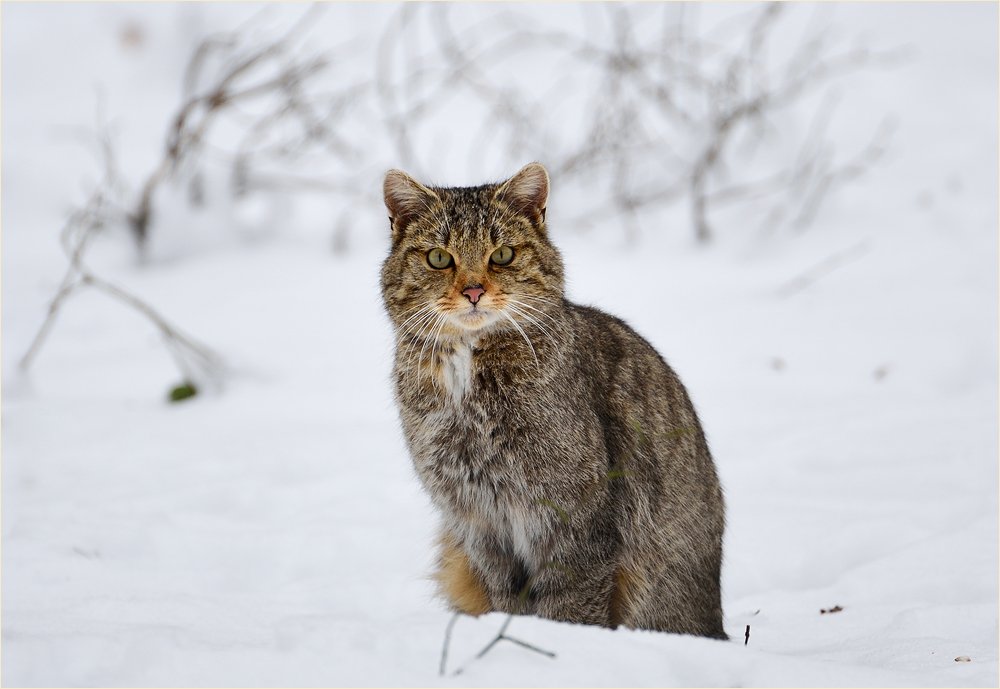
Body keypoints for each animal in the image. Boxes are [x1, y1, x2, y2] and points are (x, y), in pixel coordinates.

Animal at [380, 164, 728, 636]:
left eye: (503, 255)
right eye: (438, 257)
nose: (473, 291)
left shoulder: (574, 516)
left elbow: (571, 606)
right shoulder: (477, 519)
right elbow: (504, 597)